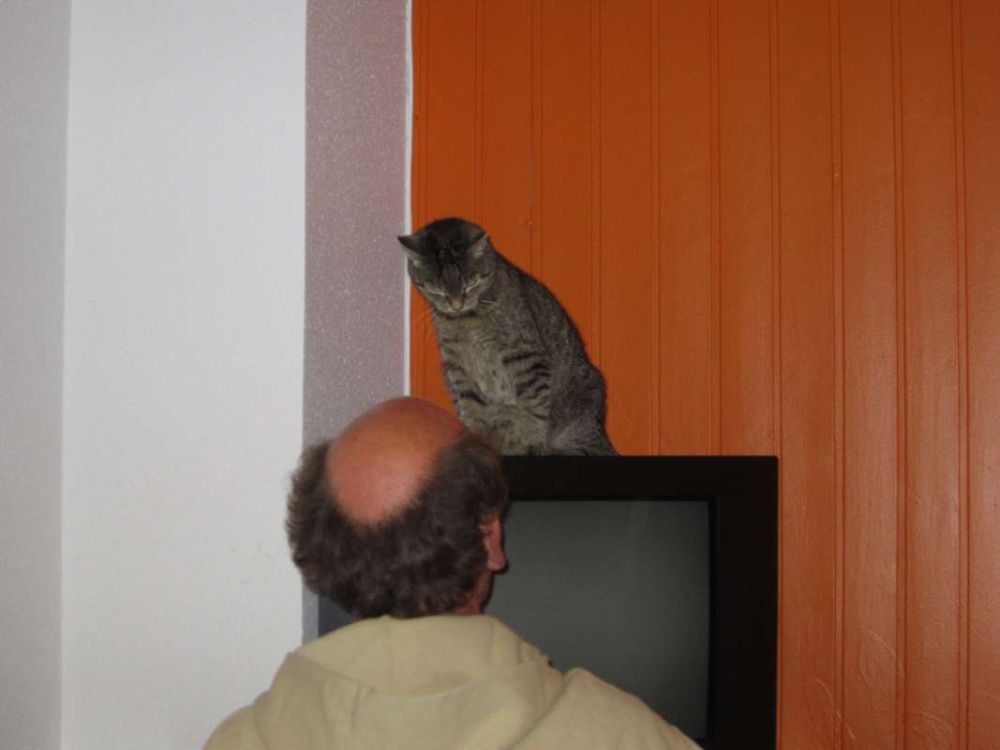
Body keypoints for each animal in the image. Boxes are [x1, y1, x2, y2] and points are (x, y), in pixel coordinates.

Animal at [399, 217, 617, 456]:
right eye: (437, 290)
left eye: (471, 283)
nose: (456, 304)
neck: (467, 319)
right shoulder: (457, 365)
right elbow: (470, 405)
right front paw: (473, 438)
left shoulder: (523, 354)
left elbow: (533, 404)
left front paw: (531, 439)